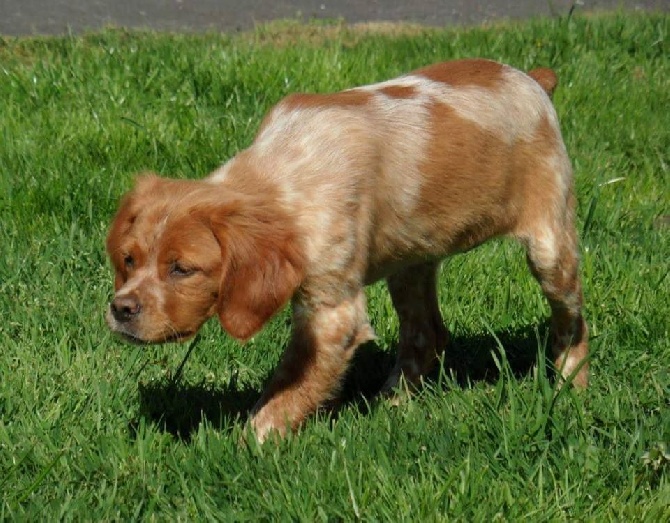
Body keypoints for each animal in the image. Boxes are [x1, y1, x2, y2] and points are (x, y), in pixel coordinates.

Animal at [105, 58, 588, 442]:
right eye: (128, 260)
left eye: (182, 269)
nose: (120, 309)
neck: (284, 172)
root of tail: (531, 78)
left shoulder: (333, 313)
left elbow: (288, 390)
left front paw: (247, 446)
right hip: (410, 263)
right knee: (426, 334)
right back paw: (391, 406)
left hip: (550, 246)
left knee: (573, 322)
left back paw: (570, 388)